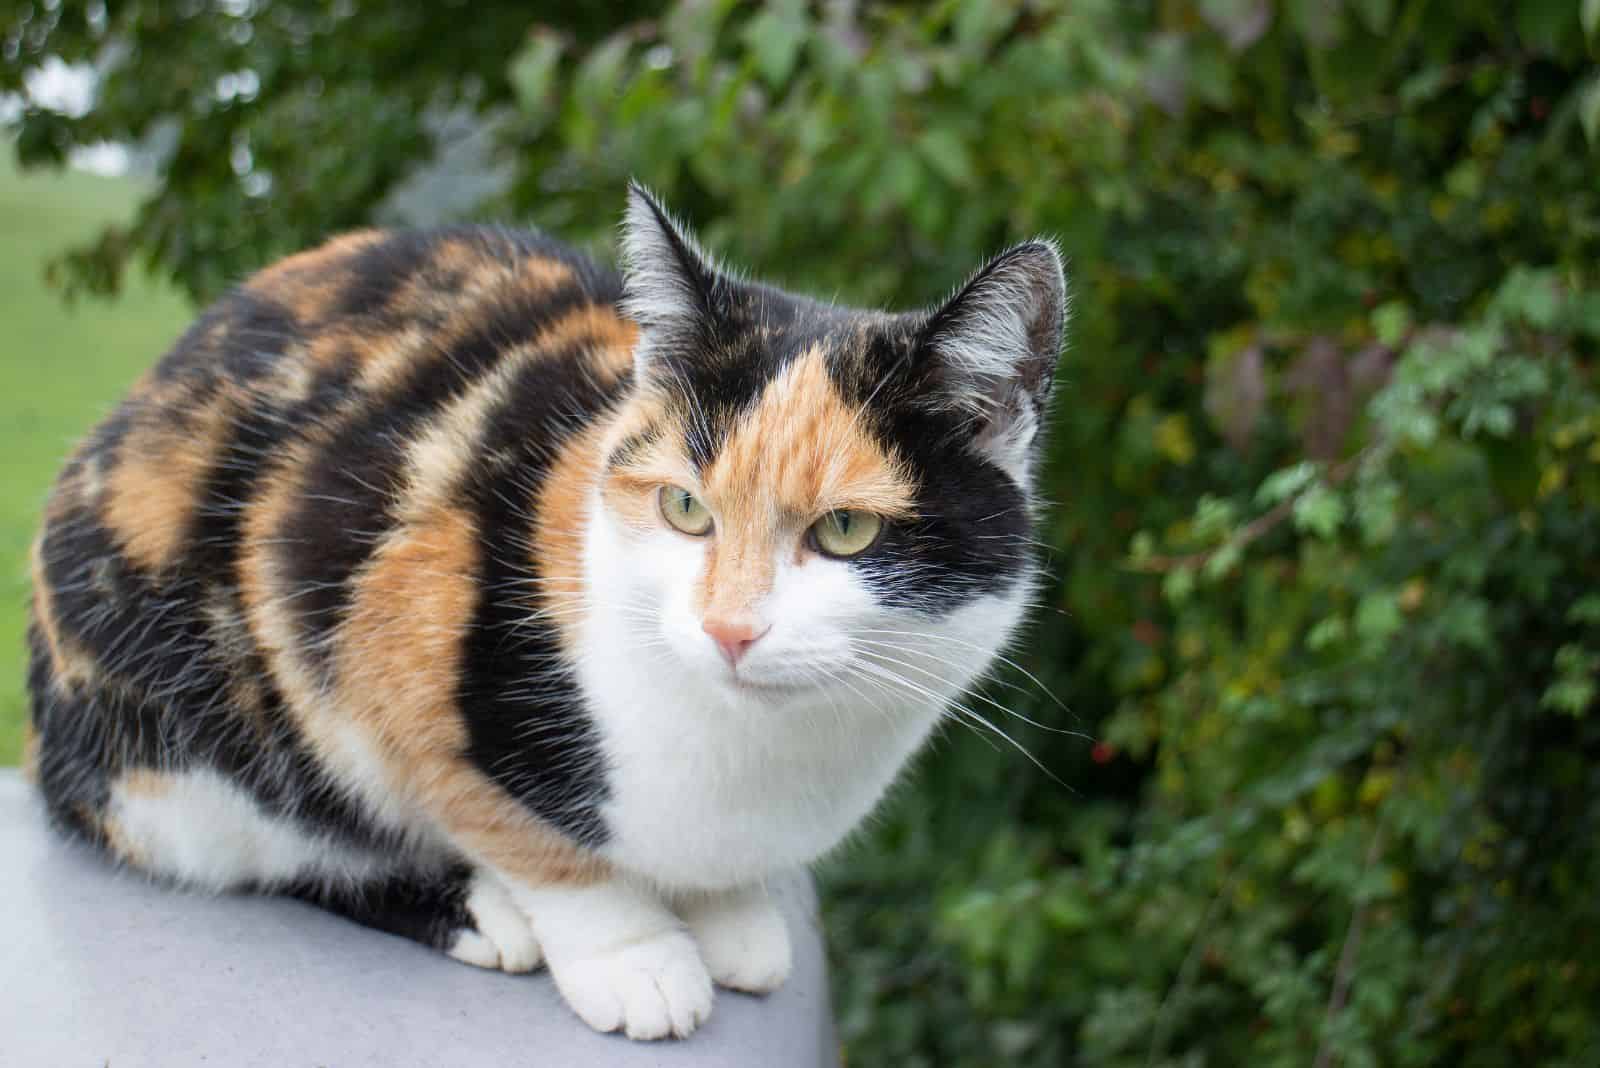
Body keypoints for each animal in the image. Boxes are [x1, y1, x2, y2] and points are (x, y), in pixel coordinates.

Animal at [21, 185, 1062, 1042]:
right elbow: (524, 834)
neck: (756, 760)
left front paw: (733, 919)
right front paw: (637, 958)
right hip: (181, 745)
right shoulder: (382, 641)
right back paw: (481, 918)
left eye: (846, 529)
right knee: (277, 841)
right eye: (684, 508)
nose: (730, 628)